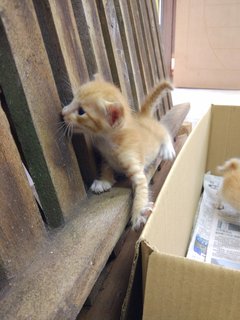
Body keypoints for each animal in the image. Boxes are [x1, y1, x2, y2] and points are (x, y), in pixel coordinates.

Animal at [62, 75, 174, 230]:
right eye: (73, 99)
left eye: (81, 112)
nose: (62, 112)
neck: (108, 141)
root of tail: (142, 117)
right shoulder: (105, 157)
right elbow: (105, 167)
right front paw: (104, 181)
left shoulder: (134, 165)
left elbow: (141, 188)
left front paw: (139, 212)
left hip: (157, 131)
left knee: (164, 131)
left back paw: (167, 149)